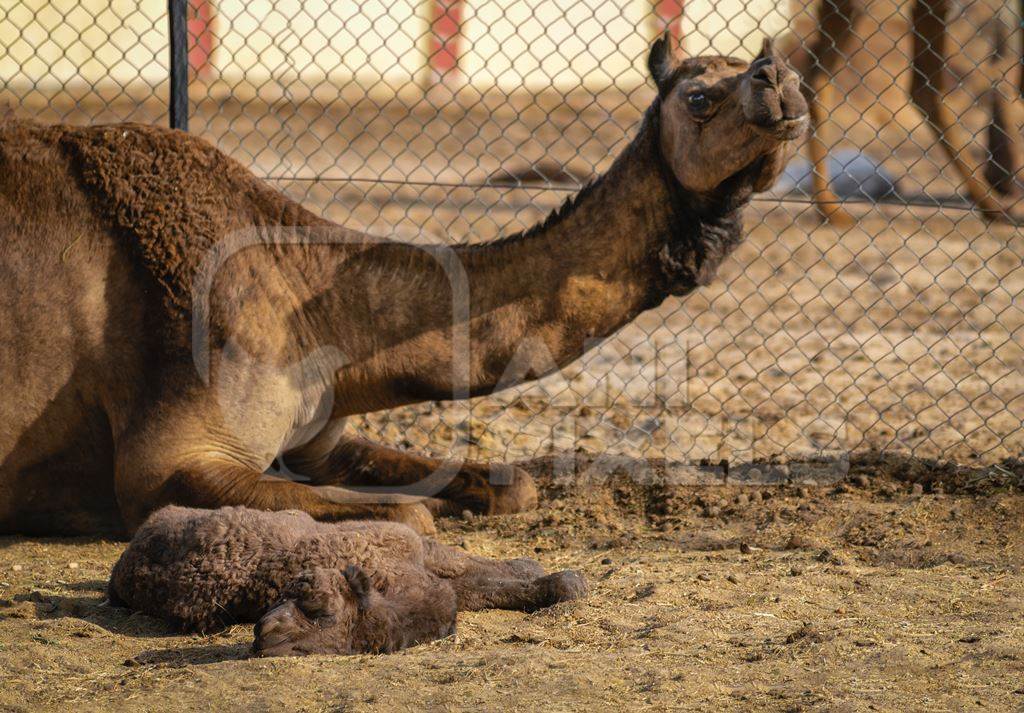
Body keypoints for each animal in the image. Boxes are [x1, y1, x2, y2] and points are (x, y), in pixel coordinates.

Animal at [108, 504, 589, 655]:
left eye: (313, 605)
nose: (264, 636)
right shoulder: (412, 552)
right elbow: (483, 579)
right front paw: (560, 579)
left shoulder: (416, 553)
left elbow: (483, 578)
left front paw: (539, 570)